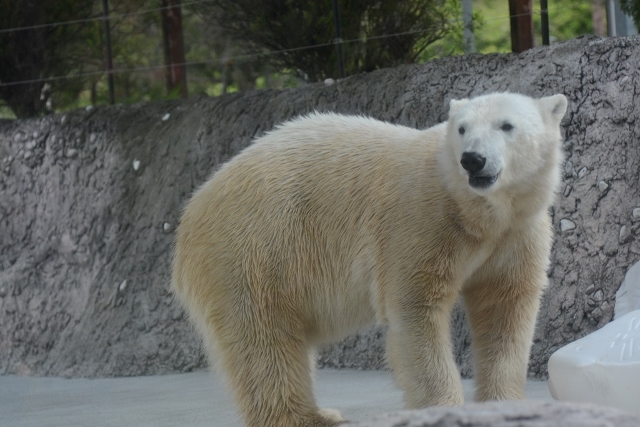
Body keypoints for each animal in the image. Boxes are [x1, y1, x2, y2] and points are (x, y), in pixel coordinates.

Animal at [170, 93, 564, 427]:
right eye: (462, 128)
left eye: (506, 125)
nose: (473, 159)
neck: (477, 212)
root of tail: (194, 207)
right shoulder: (422, 219)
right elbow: (415, 308)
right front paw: (442, 408)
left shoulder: (516, 234)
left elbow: (504, 307)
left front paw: (505, 404)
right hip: (255, 247)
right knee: (264, 337)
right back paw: (305, 417)